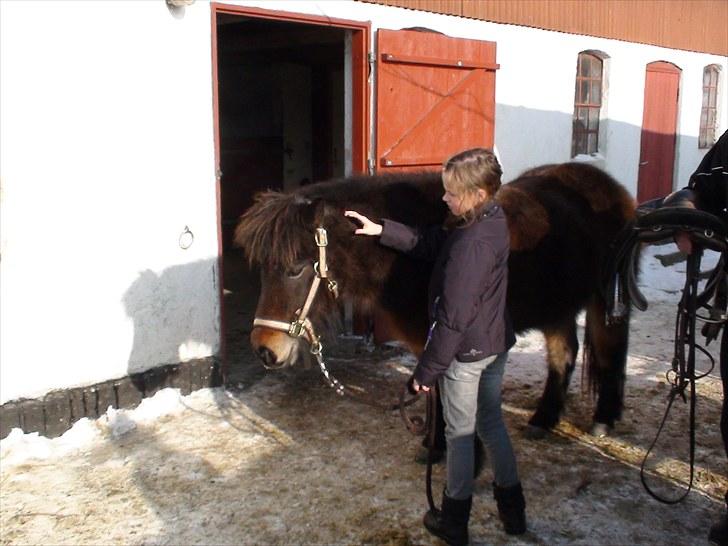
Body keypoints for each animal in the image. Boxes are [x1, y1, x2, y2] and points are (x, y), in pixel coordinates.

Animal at [236, 162, 636, 434]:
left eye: (294, 268)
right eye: (261, 268)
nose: (263, 350)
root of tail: (611, 186)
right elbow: (435, 401)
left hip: (606, 300)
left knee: (611, 349)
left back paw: (603, 419)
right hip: (557, 306)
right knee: (564, 354)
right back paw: (543, 420)